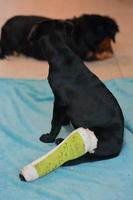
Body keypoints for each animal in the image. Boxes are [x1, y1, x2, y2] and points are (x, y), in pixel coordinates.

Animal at [29, 20, 123, 164]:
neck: (61, 52)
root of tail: (119, 147)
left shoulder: (59, 101)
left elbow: (54, 122)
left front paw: (49, 137)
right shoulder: (64, 104)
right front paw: (65, 122)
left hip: (94, 139)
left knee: (85, 155)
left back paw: (61, 143)